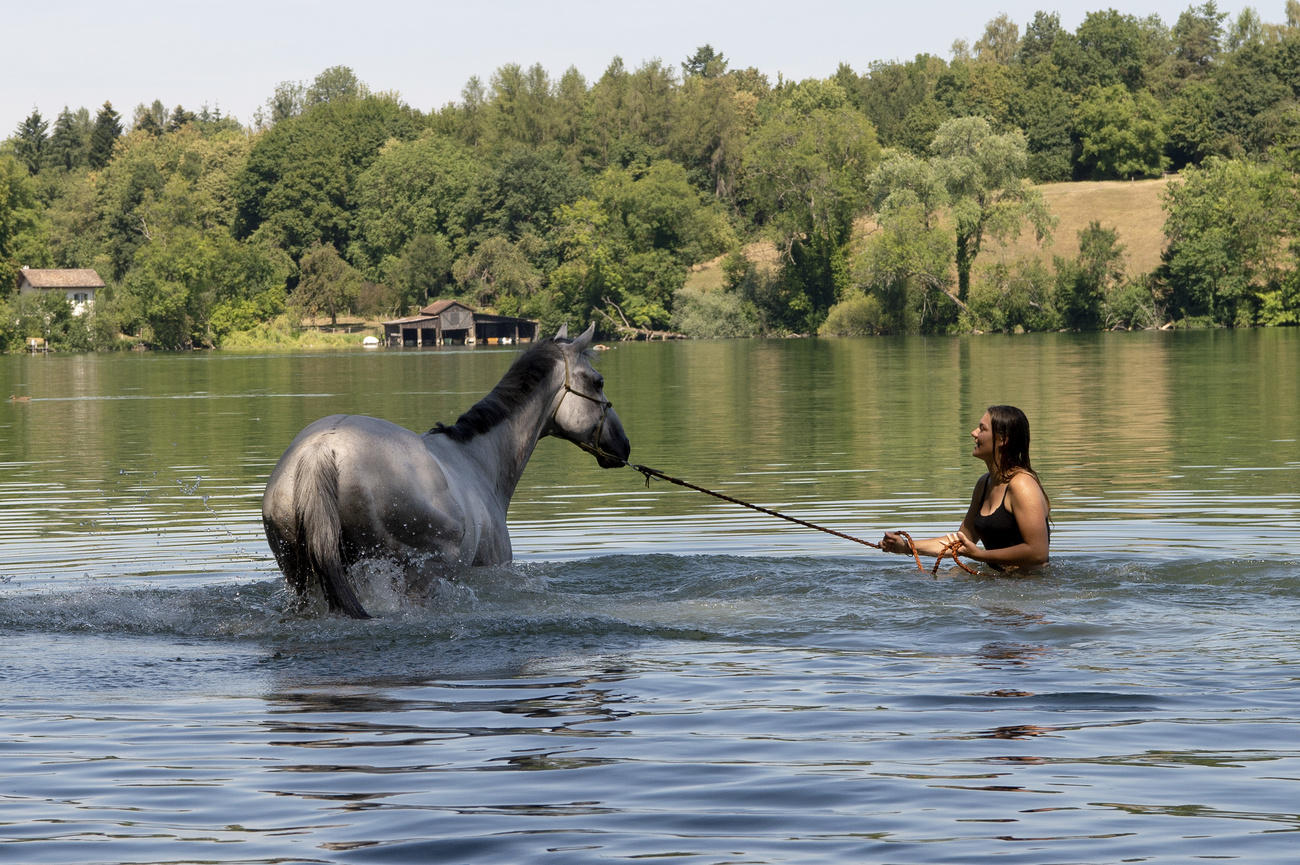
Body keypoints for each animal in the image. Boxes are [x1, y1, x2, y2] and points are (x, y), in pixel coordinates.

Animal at [261, 322, 626, 613]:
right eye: (597, 381)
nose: (623, 445)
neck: (478, 461)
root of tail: (321, 449)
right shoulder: (492, 568)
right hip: (417, 575)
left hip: (303, 578)